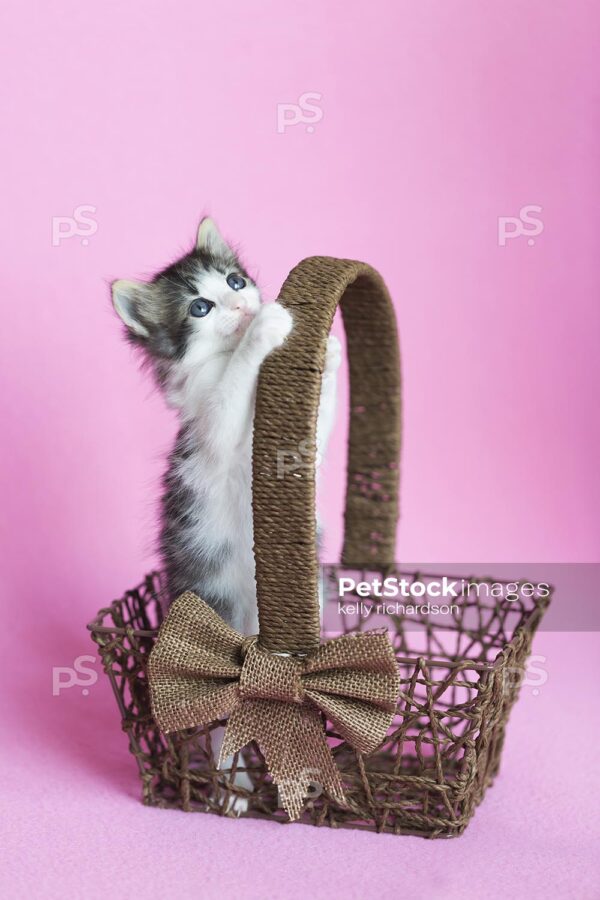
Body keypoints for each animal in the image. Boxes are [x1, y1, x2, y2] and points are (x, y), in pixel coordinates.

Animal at [110, 220, 340, 816]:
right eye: (200, 307)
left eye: (235, 281)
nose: (242, 305)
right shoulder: (212, 423)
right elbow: (235, 383)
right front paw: (267, 327)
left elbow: (318, 428)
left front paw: (329, 355)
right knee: (222, 721)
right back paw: (231, 790)